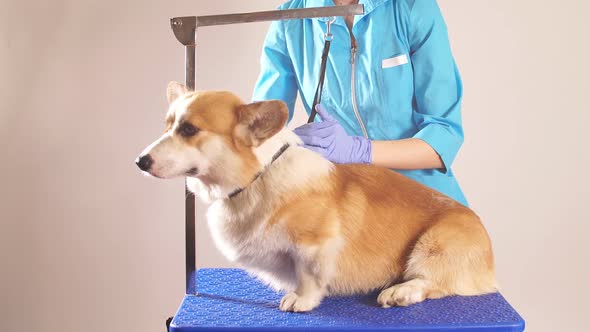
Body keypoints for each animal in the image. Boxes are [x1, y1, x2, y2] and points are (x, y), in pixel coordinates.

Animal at [136, 82, 498, 312]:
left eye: (189, 130)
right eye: (168, 126)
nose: (140, 161)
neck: (258, 177)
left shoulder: (315, 244)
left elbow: (308, 275)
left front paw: (300, 300)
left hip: (435, 244)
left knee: (435, 282)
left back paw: (401, 292)